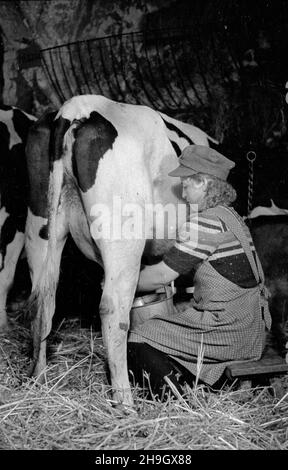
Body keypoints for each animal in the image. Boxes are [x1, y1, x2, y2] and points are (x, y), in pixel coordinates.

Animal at [25, 93, 216, 406]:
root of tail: (75, 108)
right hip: (123, 235)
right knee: (113, 309)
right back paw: (125, 401)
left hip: (41, 224)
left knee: (43, 299)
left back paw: (39, 380)